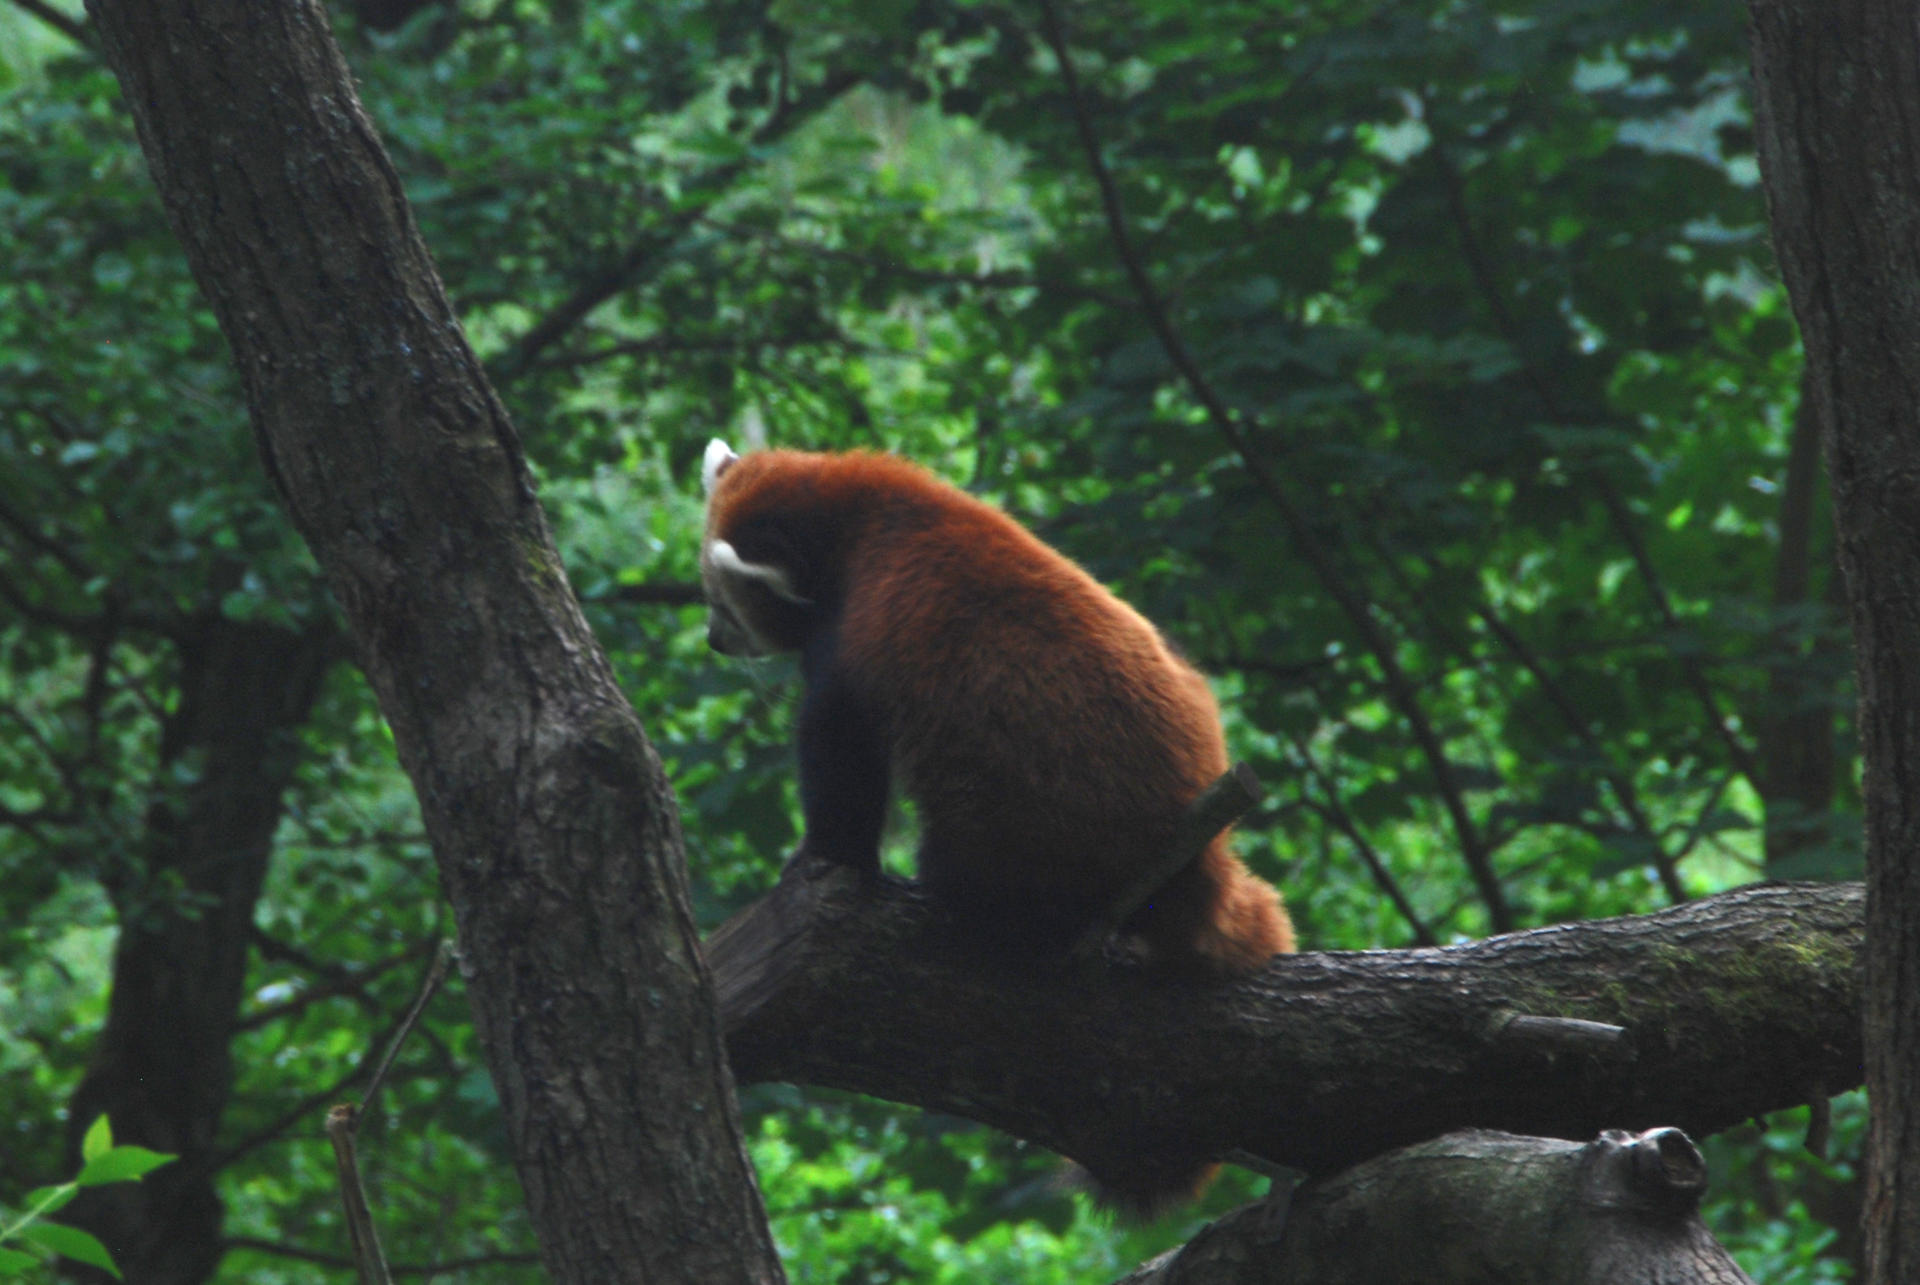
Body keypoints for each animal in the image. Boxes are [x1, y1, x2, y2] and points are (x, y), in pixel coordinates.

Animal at [702, 437, 1290, 1206]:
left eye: (724, 603)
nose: (712, 640)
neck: (857, 514)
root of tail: (1203, 860)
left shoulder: (854, 631)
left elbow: (841, 754)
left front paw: (823, 856)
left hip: (1025, 816)